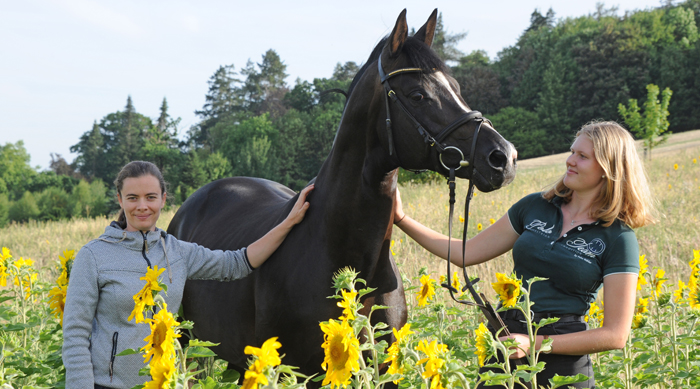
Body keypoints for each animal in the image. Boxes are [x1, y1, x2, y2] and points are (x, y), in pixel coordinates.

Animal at [167, 9, 516, 382]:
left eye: (457, 88)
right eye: (418, 95)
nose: (503, 157)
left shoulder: (384, 370)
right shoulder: (298, 373)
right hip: (191, 348)